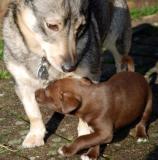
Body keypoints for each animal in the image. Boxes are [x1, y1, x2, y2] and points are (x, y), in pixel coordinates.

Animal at [2, 0, 131, 149]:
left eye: (81, 27)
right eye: (52, 26)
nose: (71, 67)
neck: (43, 59)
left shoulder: (90, 76)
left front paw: (86, 135)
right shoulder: (22, 84)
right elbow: (33, 113)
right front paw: (35, 136)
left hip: (117, 41)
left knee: (122, 64)